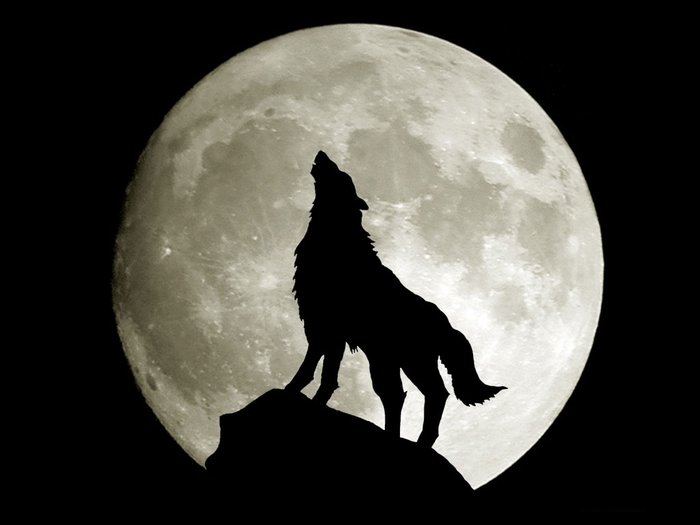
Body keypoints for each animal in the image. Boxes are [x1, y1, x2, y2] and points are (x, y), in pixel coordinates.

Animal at [285, 151, 505, 447]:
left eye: (342, 175)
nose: (322, 154)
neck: (336, 240)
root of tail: (447, 325)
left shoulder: (327, 327)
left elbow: (315, 370)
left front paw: (294, 393)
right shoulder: (326, 330)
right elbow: (324, 373)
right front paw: (308, 398)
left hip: (409, 362)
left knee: (433, 394)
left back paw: (418, 442)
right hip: (386, 361)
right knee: (396, 395)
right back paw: (398, 437)